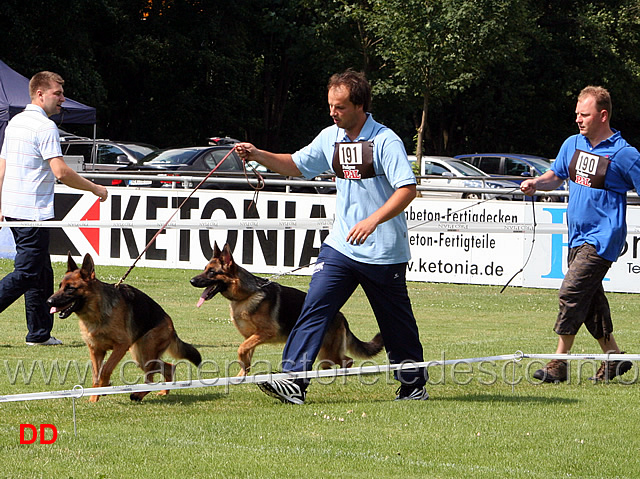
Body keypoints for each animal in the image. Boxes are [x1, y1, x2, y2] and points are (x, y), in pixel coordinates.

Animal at [47, 253, 201, 404]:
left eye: (70, 288)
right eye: (60, 286)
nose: (49, 301)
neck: (97, 312)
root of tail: (171, 325)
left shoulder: (121, 346)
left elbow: (106, 369)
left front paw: (103, 387)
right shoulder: (95, 350)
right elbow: (96, 375)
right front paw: (94, 397)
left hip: (146, 354)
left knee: (150, 379)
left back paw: (138, 395)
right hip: (140, 357)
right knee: (169, 367)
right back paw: (163, 391)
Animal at [188, 244, 382, 376]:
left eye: (211, 272)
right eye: (204, 269)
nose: (191, 281)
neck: (247, 295)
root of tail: (341, 316)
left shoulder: (265, 333)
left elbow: (241, 349)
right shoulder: (250, 337)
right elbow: (246, 356)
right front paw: (241, 376)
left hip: (330, 350)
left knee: (348, 360)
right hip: (324, 351)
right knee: (335, 362)